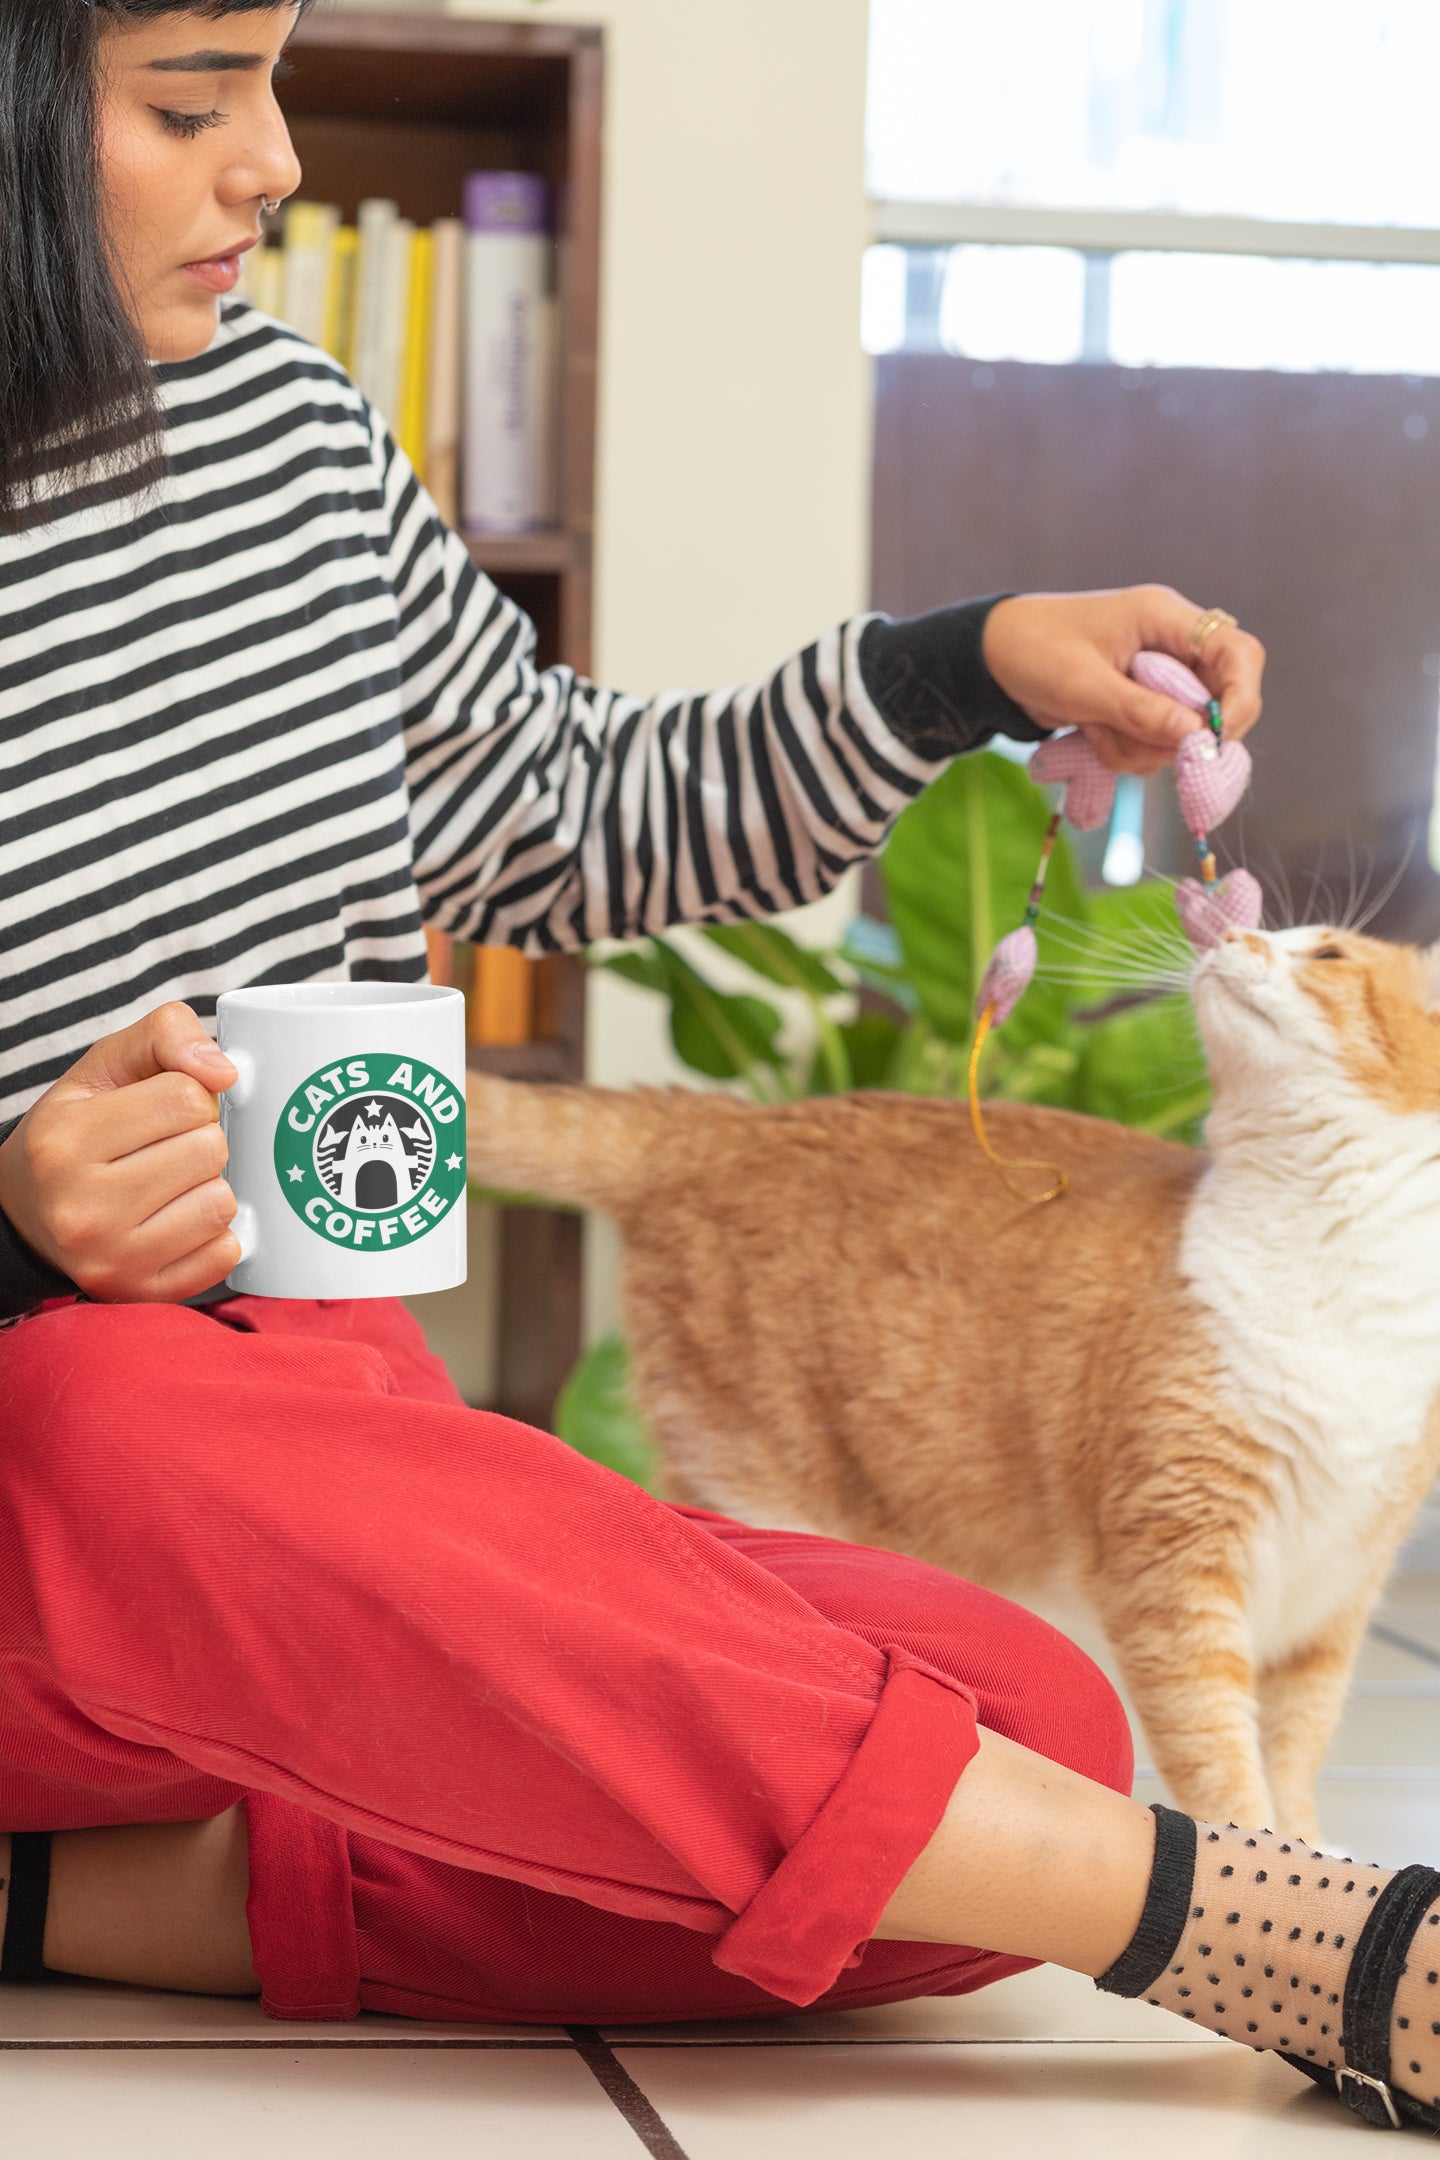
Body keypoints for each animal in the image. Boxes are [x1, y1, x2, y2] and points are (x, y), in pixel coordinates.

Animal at [470, 928, 1440, 1840]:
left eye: (1327, 952)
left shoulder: (1335, 1592)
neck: (1337, 1261)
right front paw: (1258, 1855)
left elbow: (1296, 1748)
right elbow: (1221, 1758)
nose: (1230, 934)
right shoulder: (1175, 1570)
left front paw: (1316, 1848)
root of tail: (739, 1121)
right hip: (767, 1488)